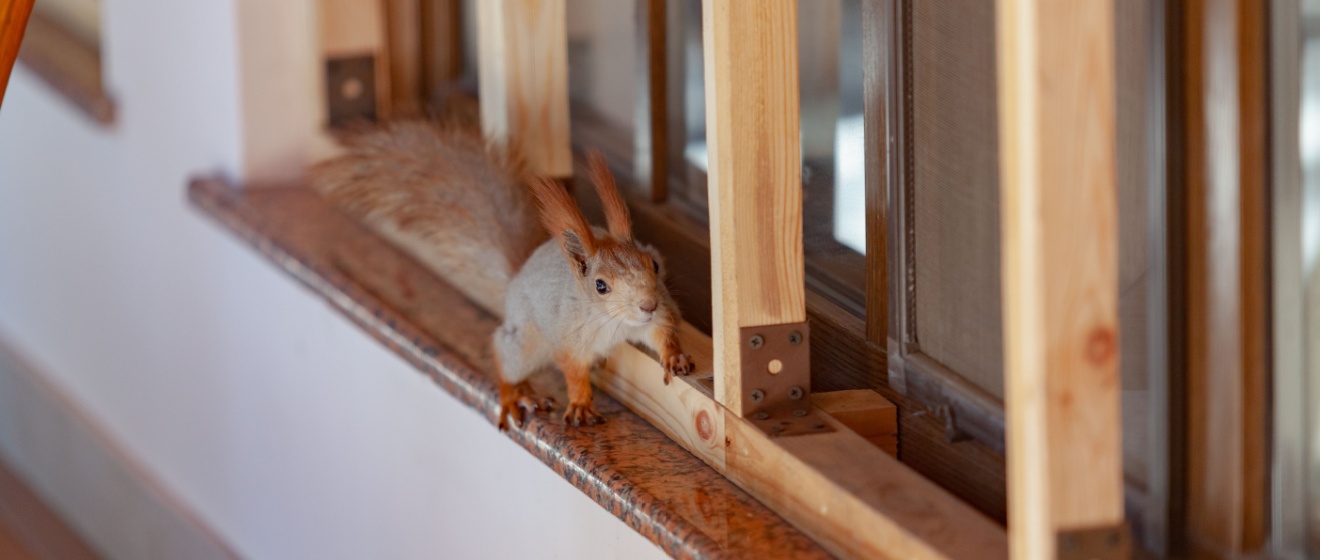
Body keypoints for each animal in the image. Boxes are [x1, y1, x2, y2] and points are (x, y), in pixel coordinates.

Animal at [310, 120, 695, 430]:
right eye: (601, 286)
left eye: (653, 264)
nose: (646, 304)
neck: (614, 322)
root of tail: (515, 280)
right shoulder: (567, 335)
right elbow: (572, 370)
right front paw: (581, 403)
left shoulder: (657, 313)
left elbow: (663, 330)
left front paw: (674, 356)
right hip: (528, 339)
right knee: (504, 352)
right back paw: (516, 394)